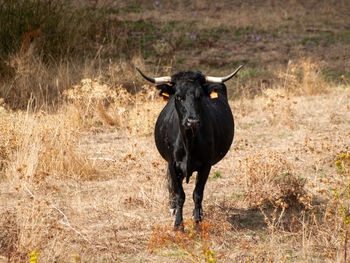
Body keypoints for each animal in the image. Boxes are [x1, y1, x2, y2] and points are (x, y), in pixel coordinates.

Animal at [137, 66, 243, 229]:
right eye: (178, 97)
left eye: (199, 97)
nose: (192, 121)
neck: (188, 143)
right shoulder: (172, 164)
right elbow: (180, 194)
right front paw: (178, 224)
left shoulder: (205, 165)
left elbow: (197, 194)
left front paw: (197, 221)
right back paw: (173, 208)